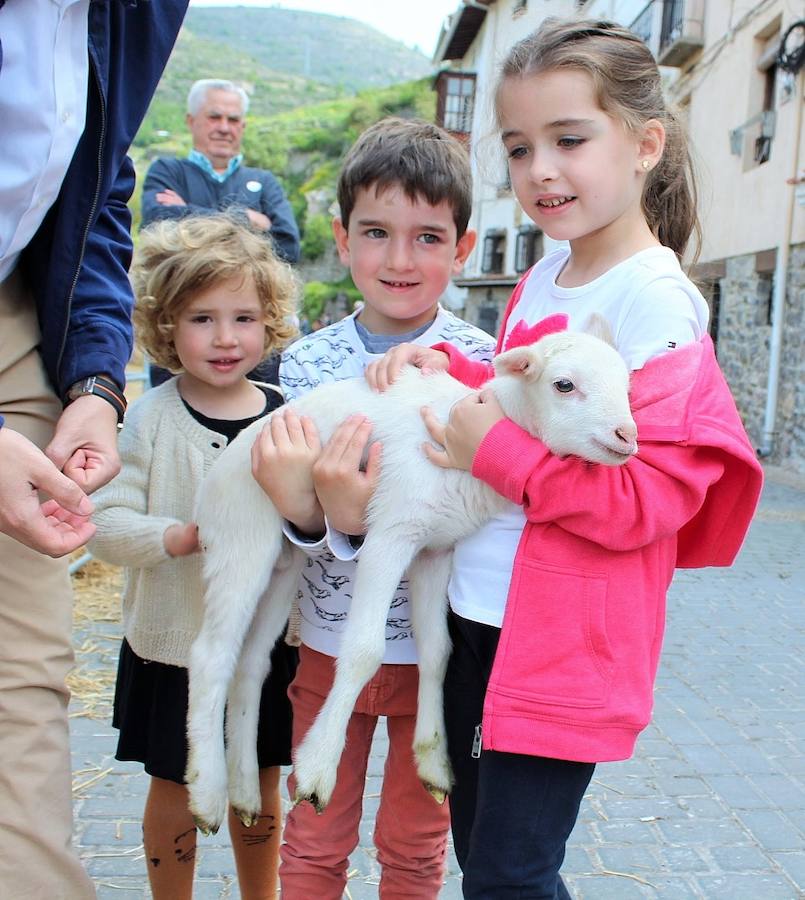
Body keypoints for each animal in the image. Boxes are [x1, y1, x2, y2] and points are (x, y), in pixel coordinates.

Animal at [185, 320, 636, 832]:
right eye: (564, 385)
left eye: (627, 386)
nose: (628, 435)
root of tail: (215, 476)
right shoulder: (391, 532)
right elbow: (363, 651)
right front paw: (317, 770)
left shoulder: (435, 549)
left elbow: (438, 651)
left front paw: (434, 762)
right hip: (241, 537)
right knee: (211, 656)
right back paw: (207, 793)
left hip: (282, 566)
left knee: (251, 663)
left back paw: (243, 796)